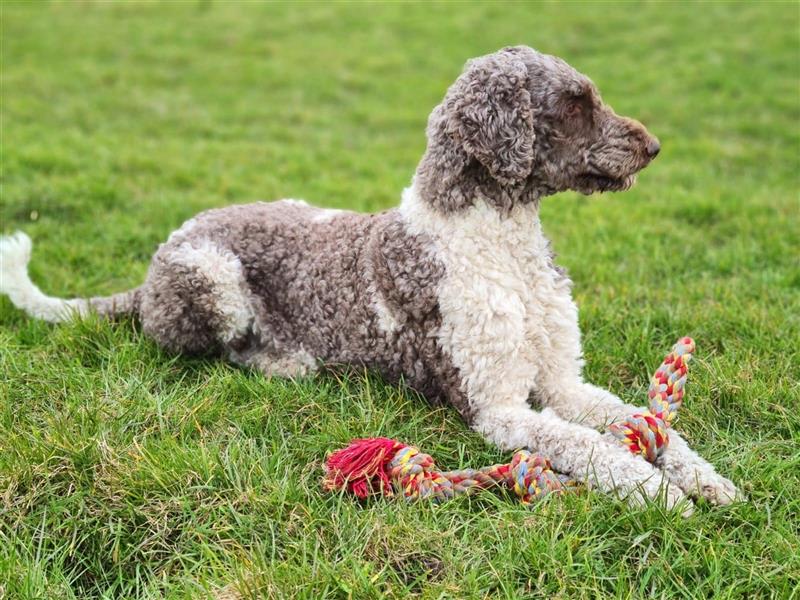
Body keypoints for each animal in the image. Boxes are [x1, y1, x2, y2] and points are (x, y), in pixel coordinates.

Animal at [0, 48, 736, 516]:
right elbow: (590, 447)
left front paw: (705, 480)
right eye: (576, 103)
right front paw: (657, 493)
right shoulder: (498, 406)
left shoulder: (561, 381)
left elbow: (645, 424)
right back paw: (285, 362)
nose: (655, 148)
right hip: (214, 278)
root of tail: (153, 265)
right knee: (208, 351)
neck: (500, 242)